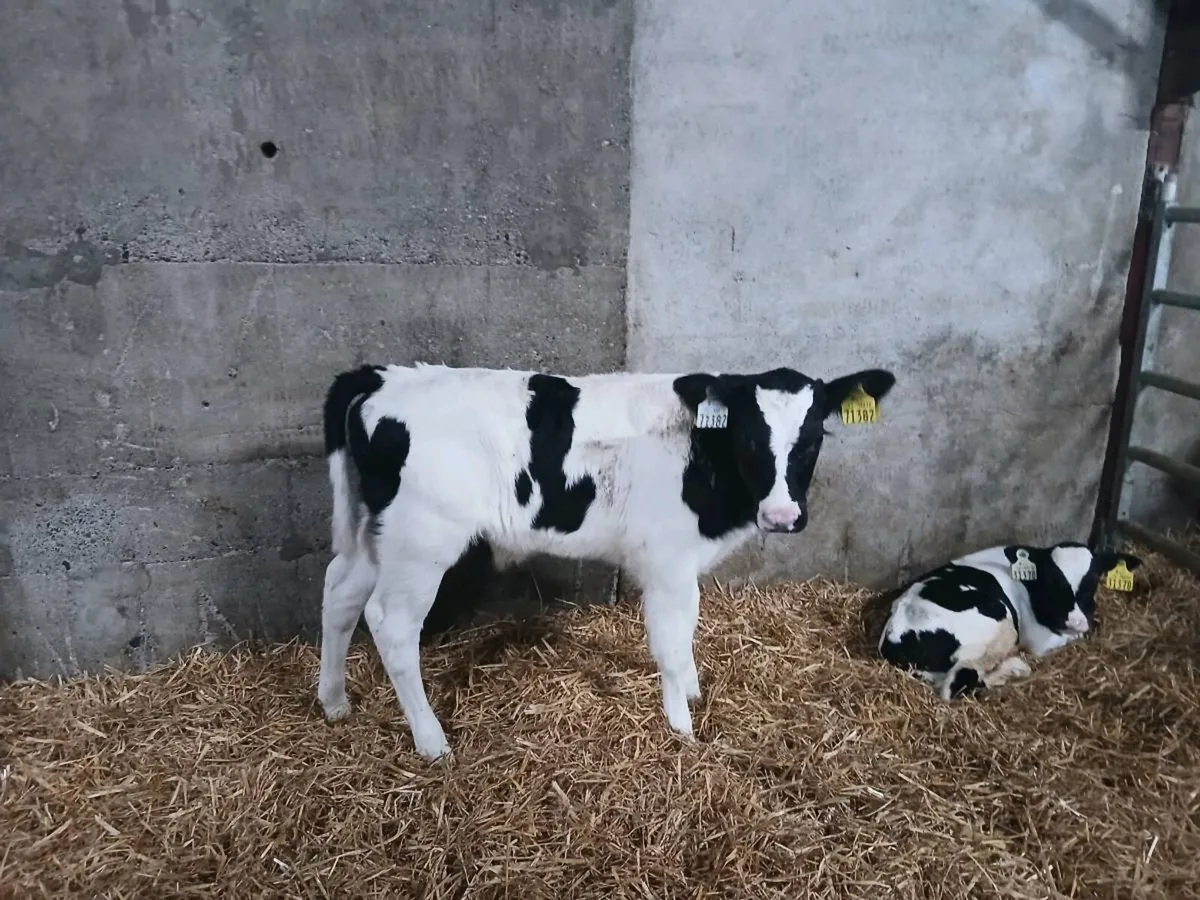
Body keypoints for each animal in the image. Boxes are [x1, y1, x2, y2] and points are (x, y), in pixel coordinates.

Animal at [317, 362, 897, 759]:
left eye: (814, 436)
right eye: (750, 436)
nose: (781, 515)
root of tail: (383, 377)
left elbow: (688, 631)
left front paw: (693, 693)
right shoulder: (666, 559)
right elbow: (670, 641)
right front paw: (681, 727)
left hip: (375, 535)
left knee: (340, 593)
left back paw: (334, 702)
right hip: (421, 541)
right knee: (390, 623)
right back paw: (432, 741)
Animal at [877, 541, 1142, 700]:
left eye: (1093, 581)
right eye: (1052, 581)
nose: (1074, 621)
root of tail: (897, 635)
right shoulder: (1039, 639)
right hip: (998, 621)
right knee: (960, 681)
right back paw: (1014, 668)